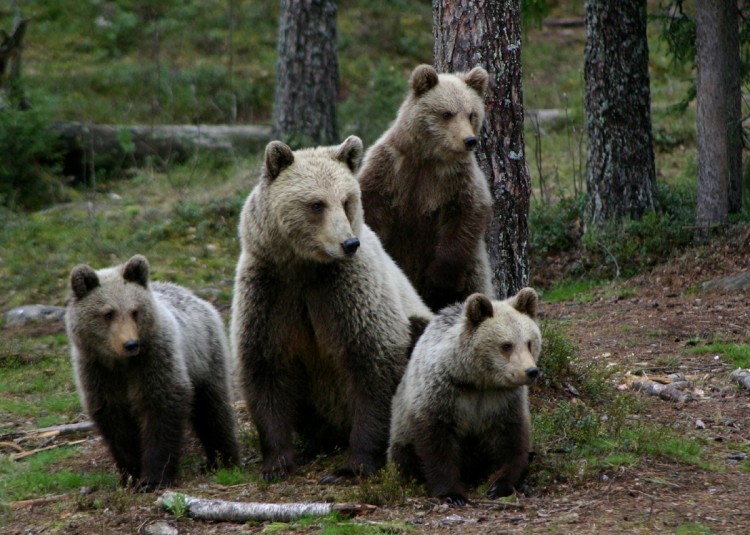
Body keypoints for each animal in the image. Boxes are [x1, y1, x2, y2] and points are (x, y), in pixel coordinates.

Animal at [67, 256, 239, 494]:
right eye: (108, 313)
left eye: (134, 311)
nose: (130, 344)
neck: (121, 363)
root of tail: (194, 296)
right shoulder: (99, 373)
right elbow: (116, 423)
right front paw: (131, 475)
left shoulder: (155, 360)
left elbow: (161, 412)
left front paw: (153, 478)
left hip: (204, 355)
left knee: (213, 409)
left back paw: (223, 459)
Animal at [234, 136, 434, 484]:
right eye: (316, 204)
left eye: (346, 200)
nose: (349, 243)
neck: (305, 267)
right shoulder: (269, 291)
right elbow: (265, 364)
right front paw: (277, 461)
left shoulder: (348, 290)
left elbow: (373, 359)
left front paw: (356, 464)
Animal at [358, 64, 494, 312]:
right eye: (447, 113)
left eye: (472, 114)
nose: (469, 140)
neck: (428, 158)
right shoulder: (389, 168)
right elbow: (369, 205)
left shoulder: (457, 180)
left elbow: (467, 215)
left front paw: (439, 278)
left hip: (474, 271)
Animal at [388, 288, 540, 506]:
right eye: (506, 345)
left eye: (529, 342)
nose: (531, 371)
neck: (477, 382)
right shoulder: (442, 393)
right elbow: (436, 441)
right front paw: (453, 494)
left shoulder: (503, 400)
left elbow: (512, 439)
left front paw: (499, 485)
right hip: (401, 430)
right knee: (403, 455)